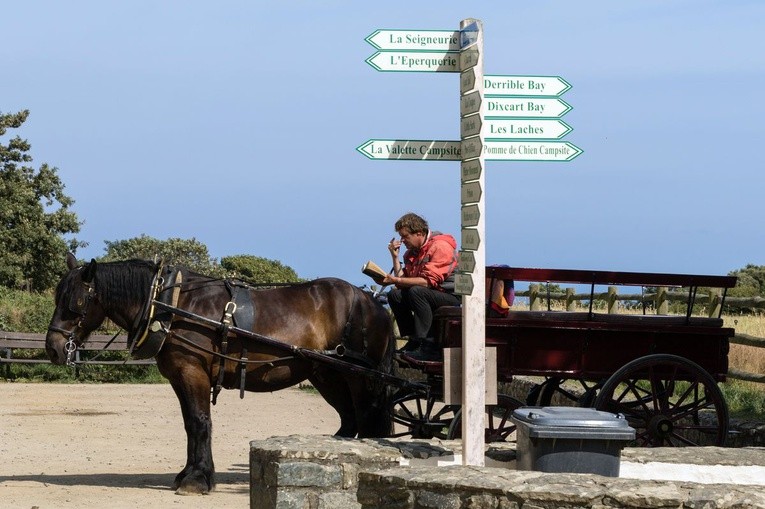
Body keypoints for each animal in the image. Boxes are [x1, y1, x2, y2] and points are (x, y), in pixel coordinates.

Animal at [46, 253, 394, 492]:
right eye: (56, 295)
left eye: (77, 300)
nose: (53, 347)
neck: (170, 305)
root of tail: (372, 301)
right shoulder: (180, 377)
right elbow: (190, 425)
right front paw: (189, 473)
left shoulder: (192, 372)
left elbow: (200, 423)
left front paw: (197, 479)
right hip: (328, 376)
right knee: (350, 421)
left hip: (360, 378)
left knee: (367, 419)